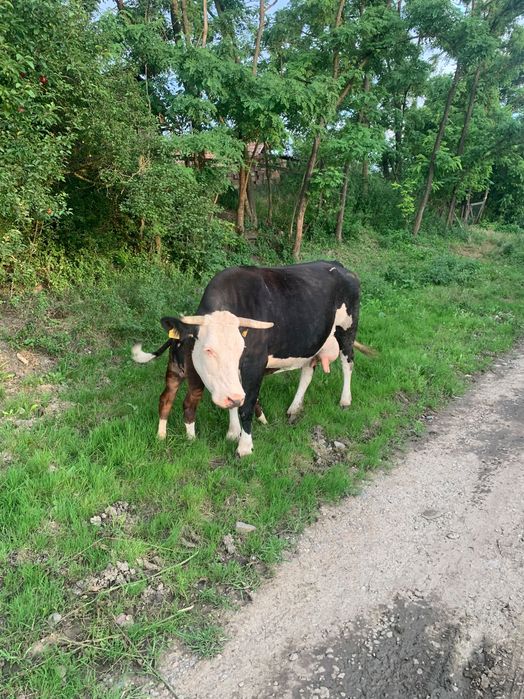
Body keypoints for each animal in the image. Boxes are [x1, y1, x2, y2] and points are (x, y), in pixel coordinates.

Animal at [133, 260, 364, 456]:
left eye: (240, 348)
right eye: (209, 350)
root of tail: (338, 265)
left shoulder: (255, 364)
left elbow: (246, 405)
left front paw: (244, 447)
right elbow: (235, 402)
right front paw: (232, 433)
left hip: (347, 328)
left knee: (348, 361)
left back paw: (345, 400)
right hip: (313, 341)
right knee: (307, 371)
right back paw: (294, 408)